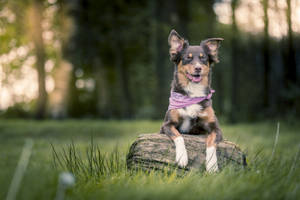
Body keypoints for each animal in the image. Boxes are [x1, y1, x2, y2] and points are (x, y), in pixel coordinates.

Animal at [161, 29, 224, 172]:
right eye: (187, 58)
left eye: (203, 58)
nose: (198, 68)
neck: (192, 93)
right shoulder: (167, 125)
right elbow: (179, 136)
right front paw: (182, 158)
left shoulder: (215, 128)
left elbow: (211, 143)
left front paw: (212, 165)